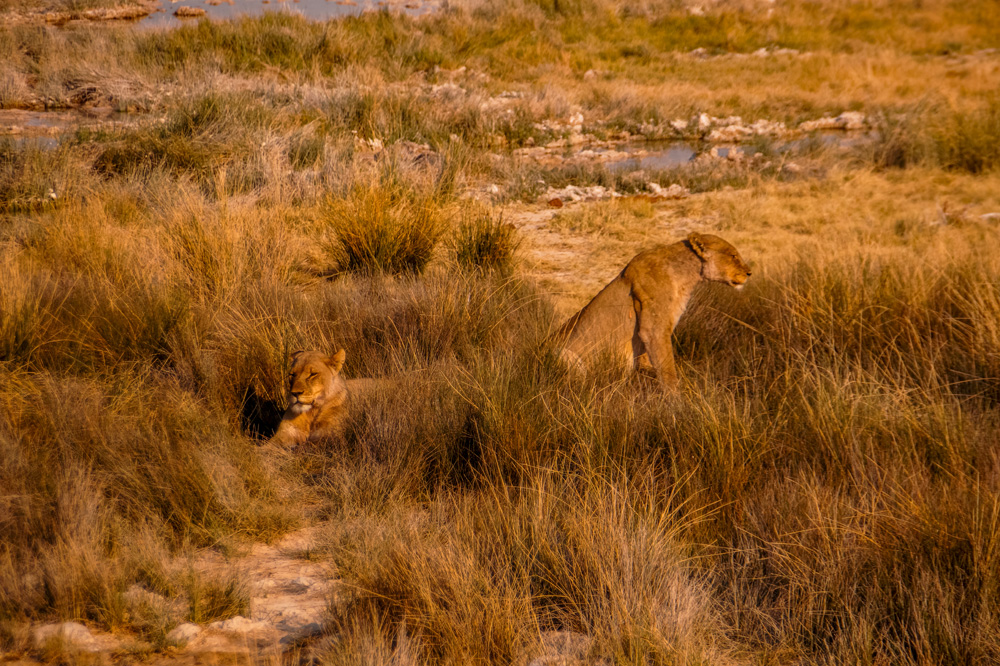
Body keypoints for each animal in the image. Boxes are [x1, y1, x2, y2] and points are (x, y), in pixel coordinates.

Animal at [556, 231, 752, 386]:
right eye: (733, 256)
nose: (749, 273)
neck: (688, 275)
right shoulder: (654, 330)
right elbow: (668, 371)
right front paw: (676, 403)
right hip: (566, 355)